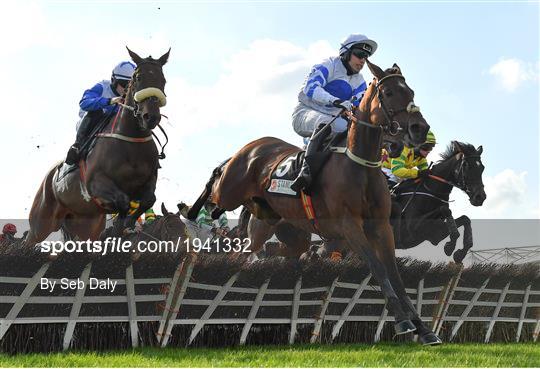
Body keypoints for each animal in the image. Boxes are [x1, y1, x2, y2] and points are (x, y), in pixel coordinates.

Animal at [23, 47, 169, 246]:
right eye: (138, 77)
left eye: (163, 80)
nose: (150, 117)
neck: (131, 144)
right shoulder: (96, 184)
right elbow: (123, 201)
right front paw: (119, 228)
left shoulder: (149, 180)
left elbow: (149, 200)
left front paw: (127, 224)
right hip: (41, 221)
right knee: (28, 240)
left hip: (85, 225)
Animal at [188, 61, 440, 344]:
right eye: (388, 93)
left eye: (411, 91)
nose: (419, 128)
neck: (359, 164)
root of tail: (253, 146)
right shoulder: (349, 226)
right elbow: (378, 267)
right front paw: (403, 322)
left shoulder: (381, 227)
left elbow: (395, 274)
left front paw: (424, 329)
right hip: (230, 192)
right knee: (215, 184)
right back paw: (193, 212)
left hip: (275, 226)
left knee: (258, 252)